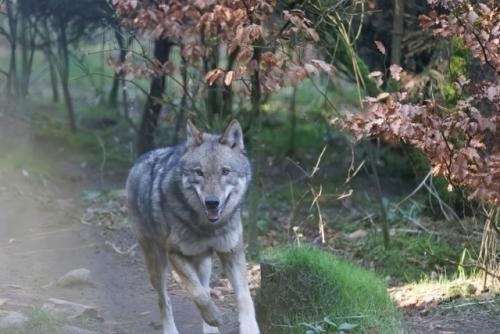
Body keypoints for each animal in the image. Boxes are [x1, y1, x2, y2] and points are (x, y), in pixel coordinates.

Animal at [125, 120, 260, 334]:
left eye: (225, 171)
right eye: (199, 172)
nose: (211, 203)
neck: (208, 227)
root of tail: (144, 156)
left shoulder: (232, 252)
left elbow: (244, 296)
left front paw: (249, 328)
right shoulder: (175, 254)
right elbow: (197, 294)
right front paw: (214, 316)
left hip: (203, 262)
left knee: (204, 286)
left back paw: (210, 330)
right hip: (157, 264)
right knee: (164, 300)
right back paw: (172, 329)